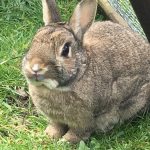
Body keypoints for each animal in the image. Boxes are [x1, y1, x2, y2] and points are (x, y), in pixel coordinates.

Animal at [22, 0, 150, 143]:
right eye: (33, 42)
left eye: (65, 49)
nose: (35, 67)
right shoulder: (55, 118)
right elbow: (56, 126)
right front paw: (50, 135)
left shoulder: (85, 120)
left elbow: (78, 132)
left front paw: (65, 141)